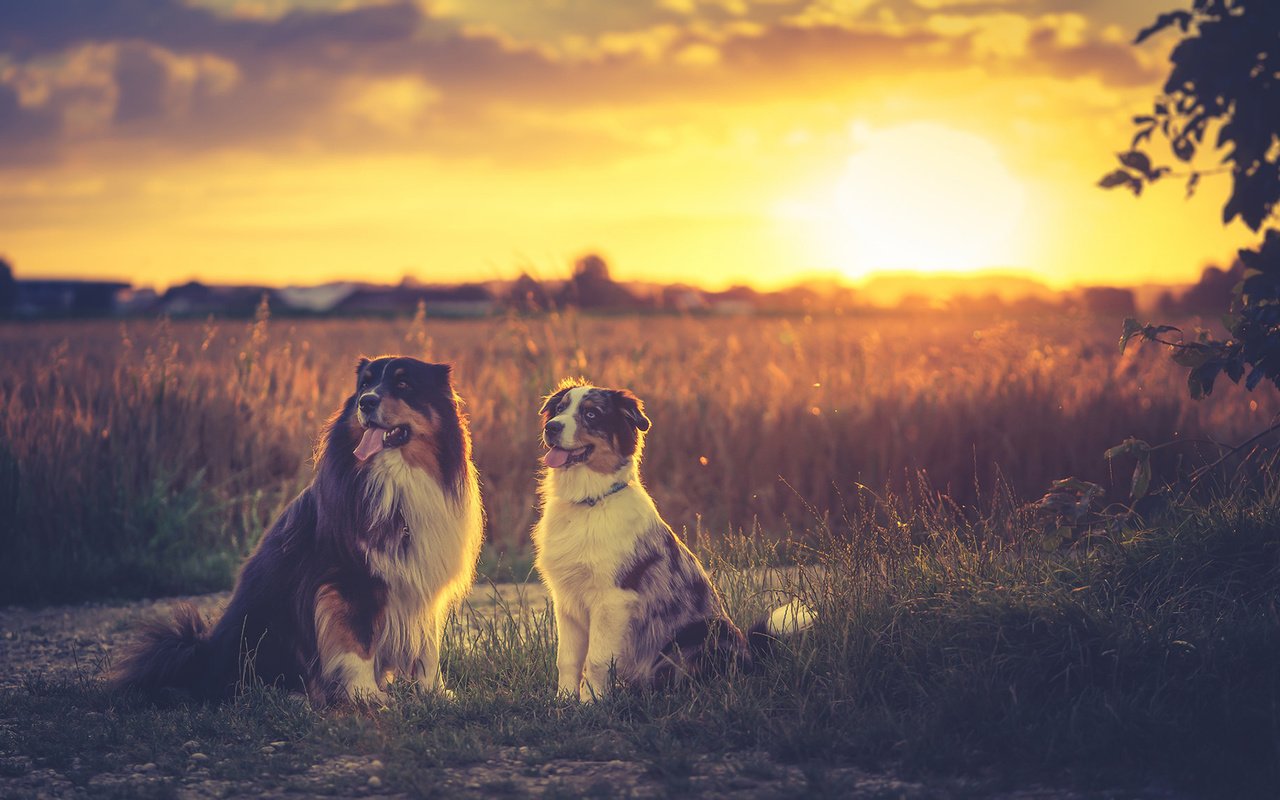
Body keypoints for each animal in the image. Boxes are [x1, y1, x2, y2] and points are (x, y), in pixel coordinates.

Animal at [529, 381, 808, 696]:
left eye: (591, 414)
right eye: (560, 408)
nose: (551, 427)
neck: (589, 501)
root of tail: (749, 655)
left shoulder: (613, 598)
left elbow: (596, 661)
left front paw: (592, 702)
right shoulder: (568, 600)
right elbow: (567, 660)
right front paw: (564, 701)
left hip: (701, 635)